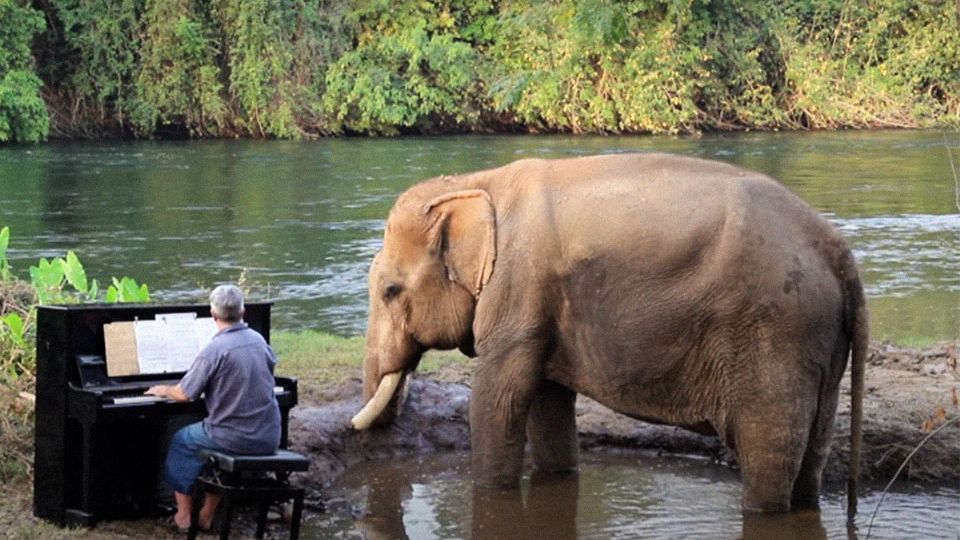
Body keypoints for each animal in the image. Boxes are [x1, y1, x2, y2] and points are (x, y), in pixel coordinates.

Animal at [354, 152, 872, 516]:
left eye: (390, 291)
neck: (473, 182)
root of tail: (839, 252)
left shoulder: (517, 290)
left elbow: (500, 398)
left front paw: (488, 491)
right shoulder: (542, 305)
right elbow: (547, 400)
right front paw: (557, 475)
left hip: (776, 330)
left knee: (769, 456)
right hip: (818, 343)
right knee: (812, 454)